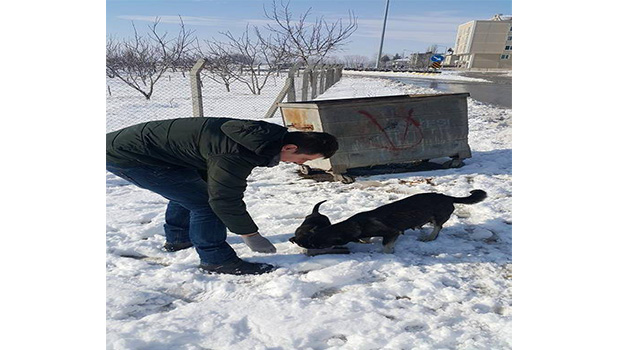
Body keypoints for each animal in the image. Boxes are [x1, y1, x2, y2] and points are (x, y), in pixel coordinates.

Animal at [290, 190, 488, 253]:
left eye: (317, 245)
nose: (307, 250)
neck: (354, 225)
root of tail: (447, 196)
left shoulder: (391, 232)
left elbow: (386, 245)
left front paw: (388, 253)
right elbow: (366, 239)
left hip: (437, 217)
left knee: (438, 227)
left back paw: (429, 237)